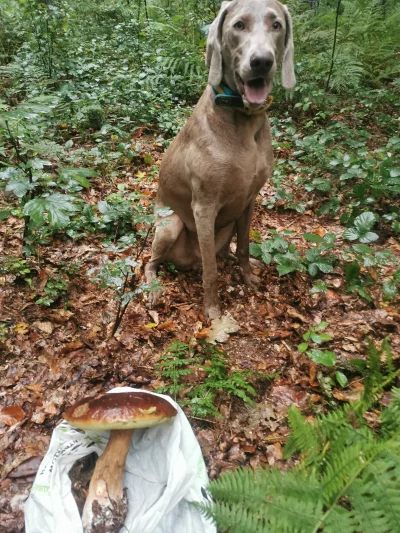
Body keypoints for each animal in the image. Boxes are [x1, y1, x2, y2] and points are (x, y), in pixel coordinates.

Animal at [145, 0, 296, 316]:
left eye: (276, 25)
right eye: (238, 25)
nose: (261, 61)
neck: (243, 120)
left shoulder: (250, 198)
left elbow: (244, 246)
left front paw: (248, 276)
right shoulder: (204, 207)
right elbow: (211, 271)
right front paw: (213, 310)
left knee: (224, 251)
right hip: (170, 225)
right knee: (152, 262)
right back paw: (153, 289)